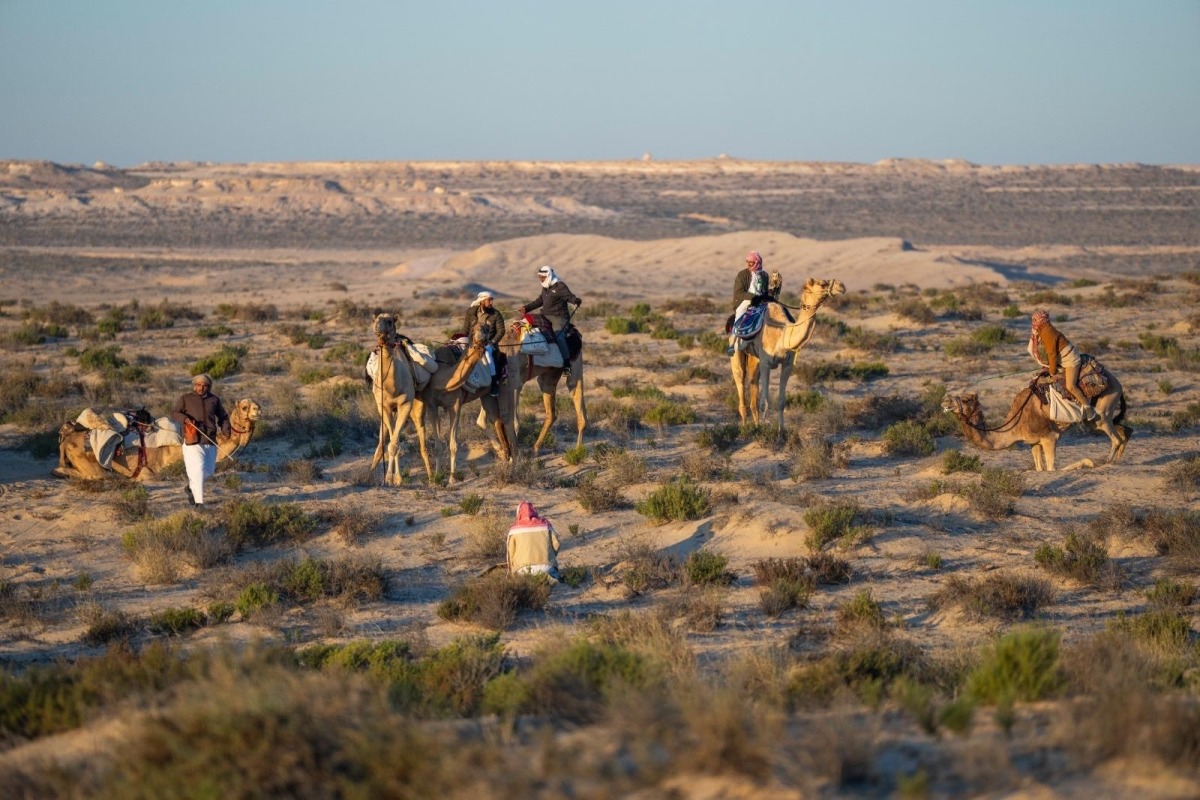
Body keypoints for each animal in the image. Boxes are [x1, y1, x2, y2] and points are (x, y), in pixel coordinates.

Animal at [492, 319, 585, 455]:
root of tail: (576, 333)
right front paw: (503, 451)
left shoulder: (512, 384)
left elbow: (509, 419)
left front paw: (509, 453)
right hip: (548, 377)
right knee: (552, 413)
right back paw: (535, 448)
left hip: (574, 368)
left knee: (578, 402)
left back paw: (577, 451)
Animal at [724, 280, 849, 434]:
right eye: (822, 284)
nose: (841, 286)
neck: (782, 334)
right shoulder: (766, 363)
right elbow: (764, 402)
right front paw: (765, 432)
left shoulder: (787, 365)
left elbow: (781, 401)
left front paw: (781, 432)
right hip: (736, 353)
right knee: (741, 384)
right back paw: (745, 428)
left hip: (754, 358)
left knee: (753, 386)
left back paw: (756, 426)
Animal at [940, 371, 1128, 472]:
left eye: (965, 400)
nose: (944, 401)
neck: (1015, 425)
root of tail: (1117, 382)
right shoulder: (1033, 442)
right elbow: (1039, 468)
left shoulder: (1049, 438)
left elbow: (1052, 468)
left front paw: (1087, 463)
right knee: (1124, 431)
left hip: (1102, 410)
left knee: (1115, 438)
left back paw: (1107, 463)